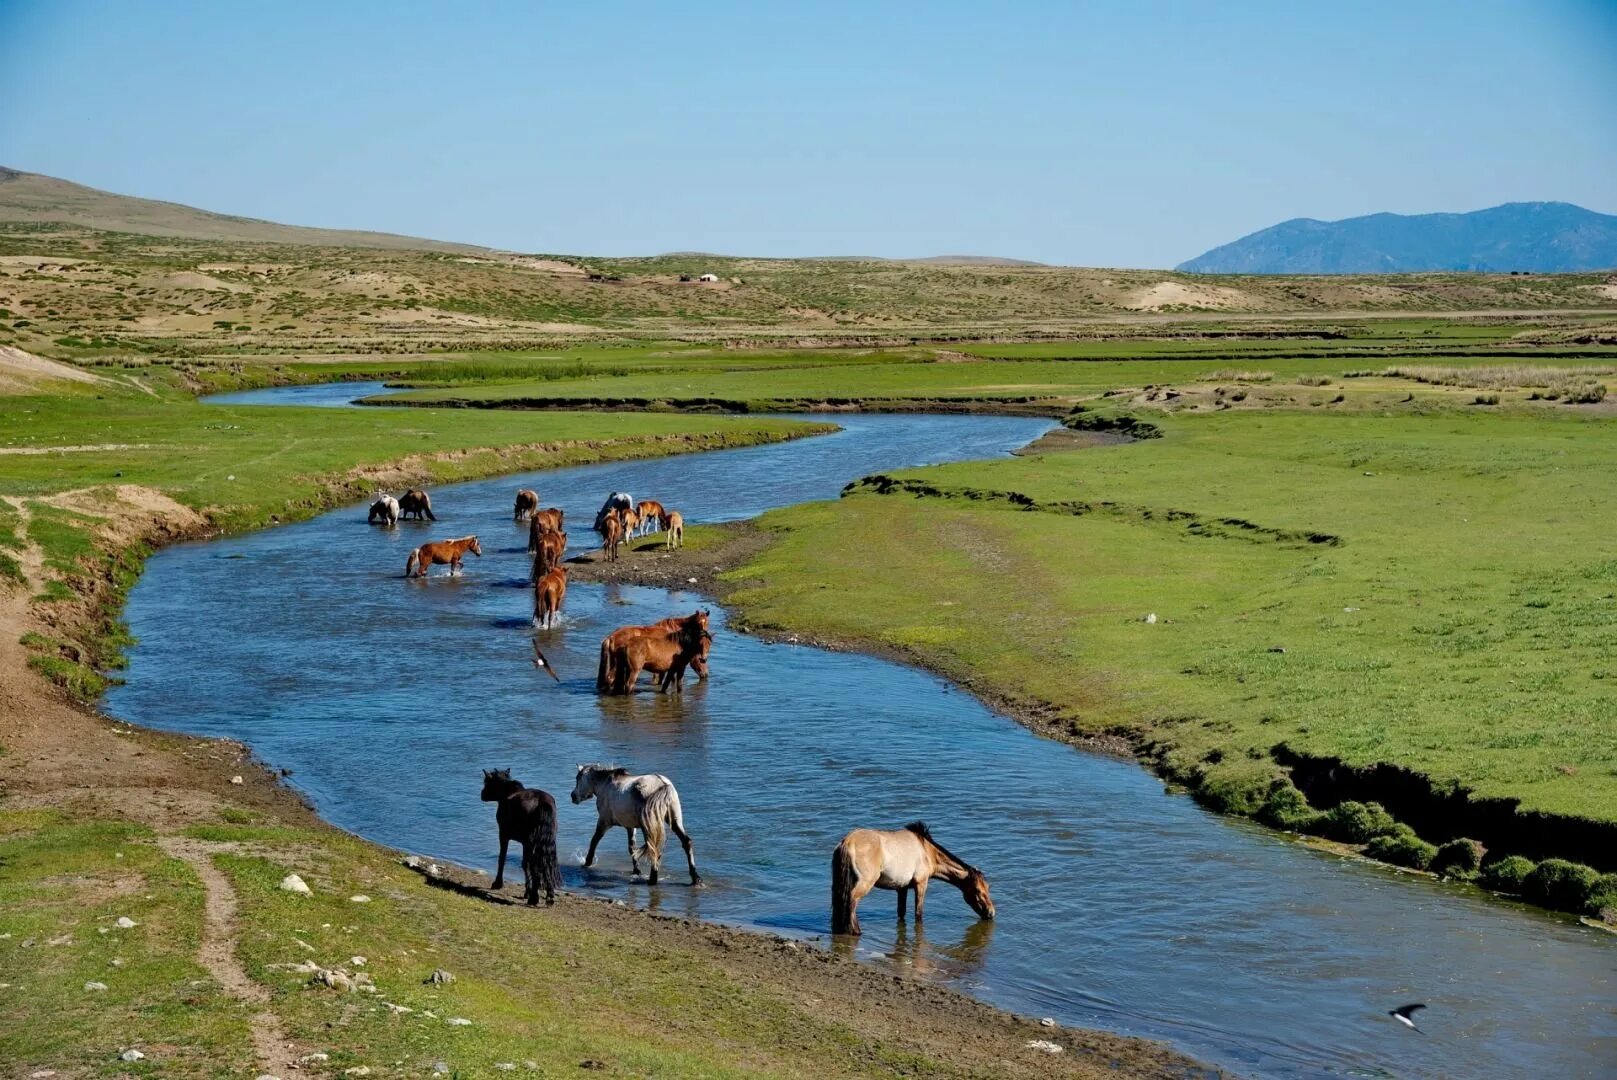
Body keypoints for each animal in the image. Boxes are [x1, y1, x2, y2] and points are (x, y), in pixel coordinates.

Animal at [478, 763, 562, 905]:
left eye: (487, 782)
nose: (482, 794)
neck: (508, 794)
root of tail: (542, 803)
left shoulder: (504, 835)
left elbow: (503, 858)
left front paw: (497, 883)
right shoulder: (525, 843)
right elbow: (525, 864)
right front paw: (527, 892)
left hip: (531, 842)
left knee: (536, 865)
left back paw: (534, 898)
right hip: (545, 842)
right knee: (546, 863)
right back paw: (549, 896)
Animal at [834, 821, 996, 931]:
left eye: (988, 888)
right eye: (977, 890)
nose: (991, 913)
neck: (927, 852)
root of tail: (847, 842)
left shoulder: (902, 888)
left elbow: (901, 912)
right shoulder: (921, 884)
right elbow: (919, 913)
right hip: (865, 883)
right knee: (851, 901)